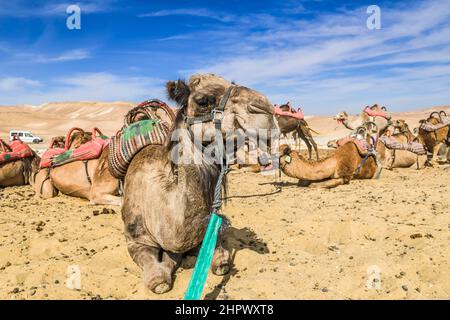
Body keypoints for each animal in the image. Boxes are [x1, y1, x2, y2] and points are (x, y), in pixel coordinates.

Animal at [122, 74, 278, 294]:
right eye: (202, 101)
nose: (265, 109)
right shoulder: (136, 240)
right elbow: (158, 275)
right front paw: (161, 276)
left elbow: (219, 262)